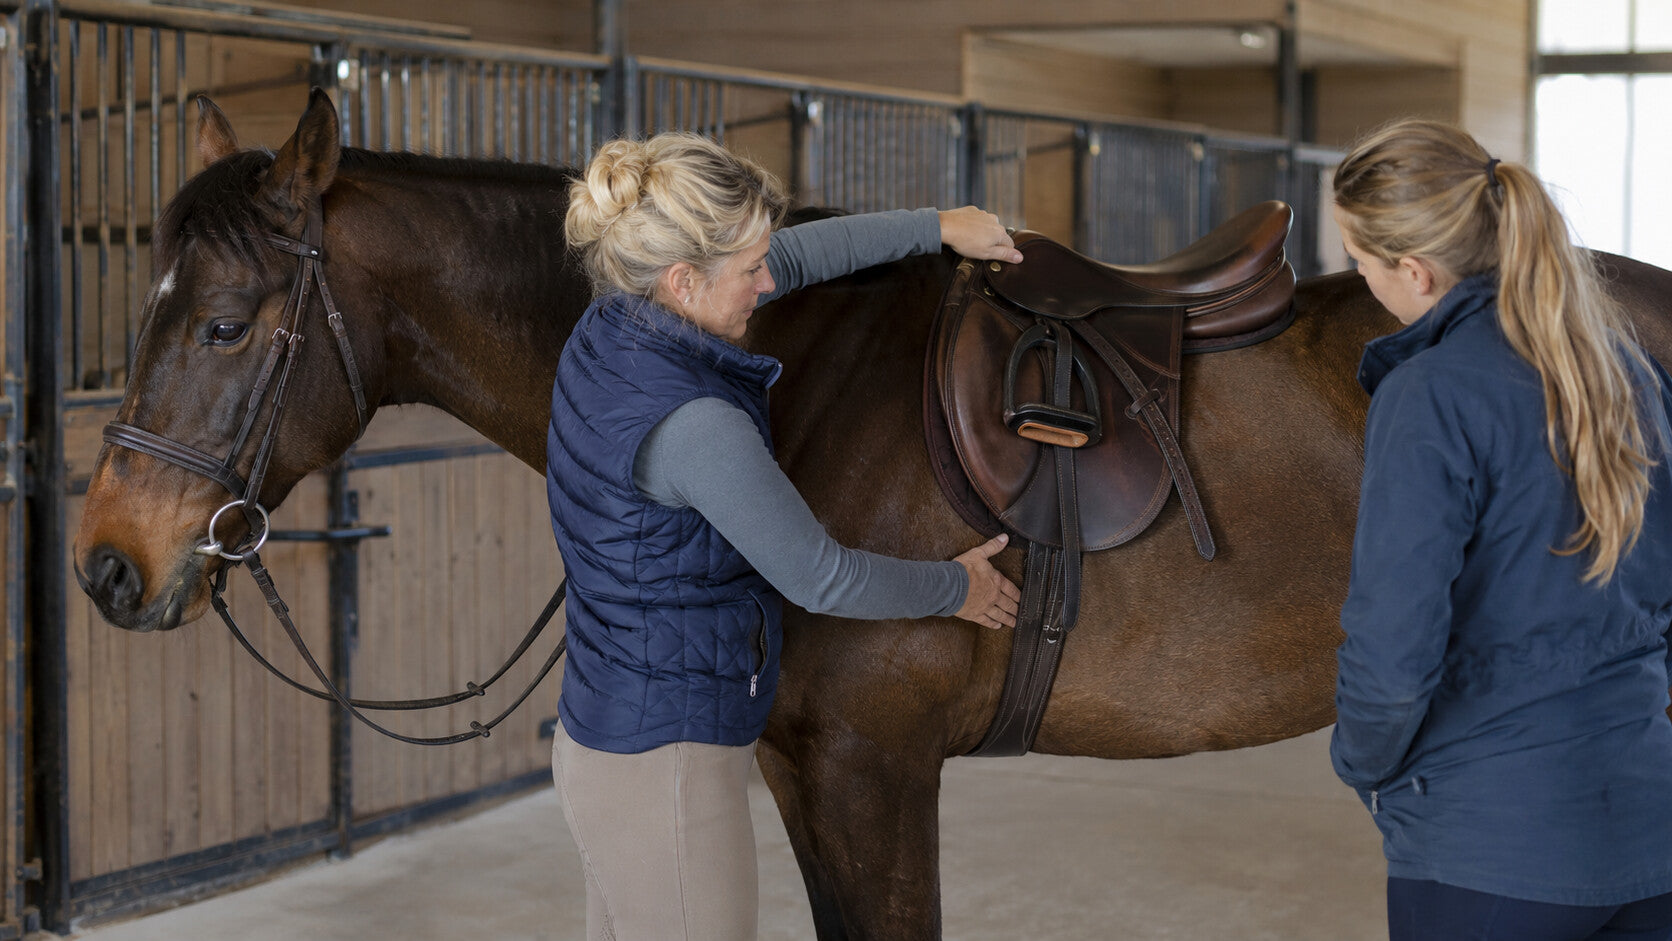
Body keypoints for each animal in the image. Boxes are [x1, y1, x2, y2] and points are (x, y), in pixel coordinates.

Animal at [72, 90, 1672, 940]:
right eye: (144, 309)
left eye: (223, 324)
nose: (107, 568)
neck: (791, 379)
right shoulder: (804, 769)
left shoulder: (874, 769)